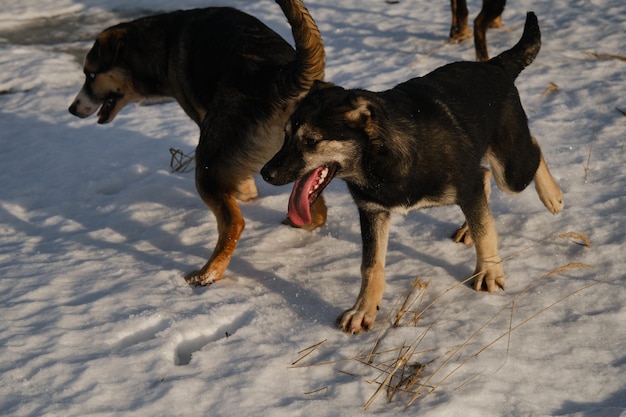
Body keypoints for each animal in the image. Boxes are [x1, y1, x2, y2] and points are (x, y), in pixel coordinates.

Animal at [69, 0, 326, 286]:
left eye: (91, 75)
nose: (72, 109)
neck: (163, 42)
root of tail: (277, 77)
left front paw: (244, 191)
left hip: (208, 166)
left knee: (234, 224)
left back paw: (206, 274)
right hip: (296, 161)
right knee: (318, 212)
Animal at [260, 11, 564, 334]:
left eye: (311, 141)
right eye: (285, 135)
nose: (266, 174)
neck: (380, 159)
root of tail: (495, 65)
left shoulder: (465, 187)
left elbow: (486, 232)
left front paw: (489, 273)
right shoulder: (373, 211)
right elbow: (371, 265)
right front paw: (363, 309)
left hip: (511, 169)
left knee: (532, 148)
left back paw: (552, 196)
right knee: (485, 176)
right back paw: (468, 227)